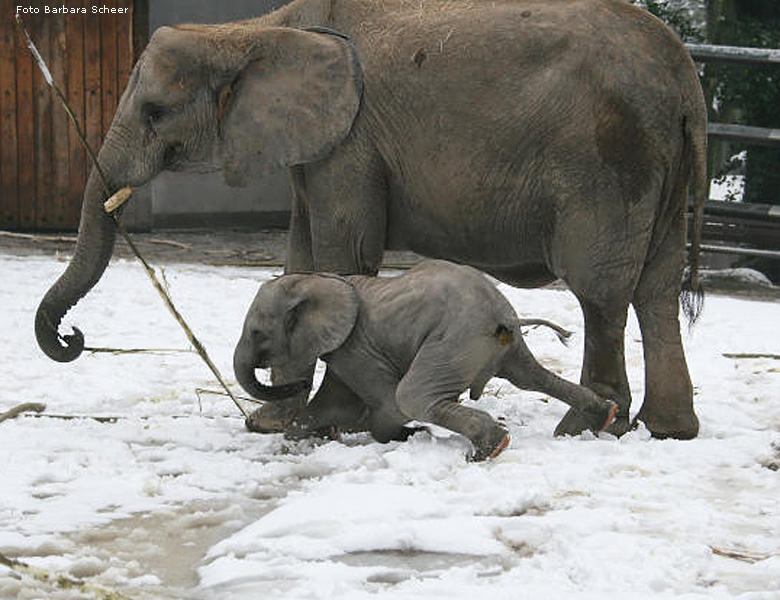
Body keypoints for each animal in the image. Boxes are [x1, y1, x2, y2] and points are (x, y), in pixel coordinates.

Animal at [232, 258, 616, 460]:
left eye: (258, 334)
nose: (297, 382)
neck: (319, 279)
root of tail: (503, 316)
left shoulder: (356, 346)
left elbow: (384, 405)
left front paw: (404, 434)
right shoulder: (345, 349)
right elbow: (334, 401)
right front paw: (303, 437)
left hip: (455, 340)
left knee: (412, 396)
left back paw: (488, 449)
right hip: (499, 346)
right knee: (533, 377)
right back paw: (604, 416)